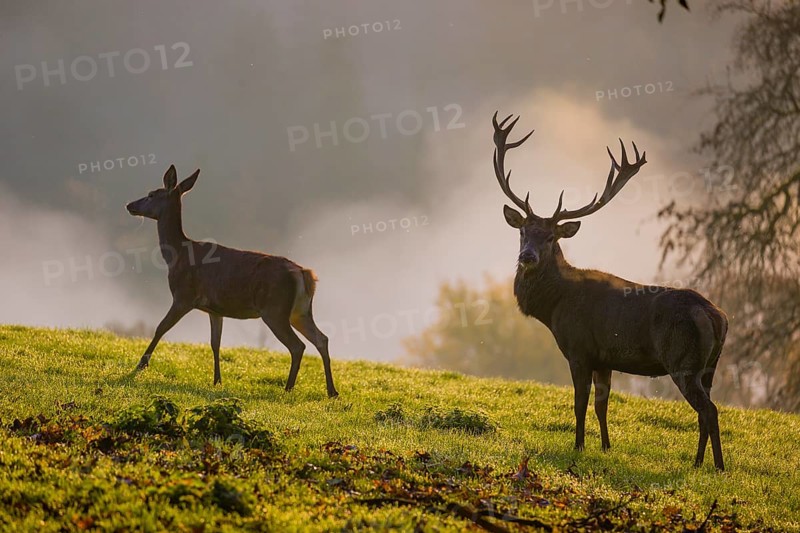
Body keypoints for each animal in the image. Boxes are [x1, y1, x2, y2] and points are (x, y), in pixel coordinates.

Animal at [126, 165, 338, 398]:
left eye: (151, 194)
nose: (129, 205)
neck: (177, 256)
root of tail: (304, 273)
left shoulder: (183, 296)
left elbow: (160, 328)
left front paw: (140, 366)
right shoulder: (214, 309)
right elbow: (215, 343)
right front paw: (217, 380)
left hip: (274, 309)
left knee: (298, 346)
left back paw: (289, 387)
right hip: (300, 311)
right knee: (322, 338)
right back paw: (331, 391)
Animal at [491, 112, 728, 470]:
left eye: (551, 237)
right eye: (522, 232)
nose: (527, 256)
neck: (554, 307)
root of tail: (718, 318)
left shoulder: (579, 349)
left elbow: (580, 403)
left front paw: (578, 447)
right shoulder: (605, 358)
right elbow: (602, 405)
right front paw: (604, 446)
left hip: (683, 360)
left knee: (709, 410)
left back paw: (719, 466)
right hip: (710, 367)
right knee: (705, 410)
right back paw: (698, 463)